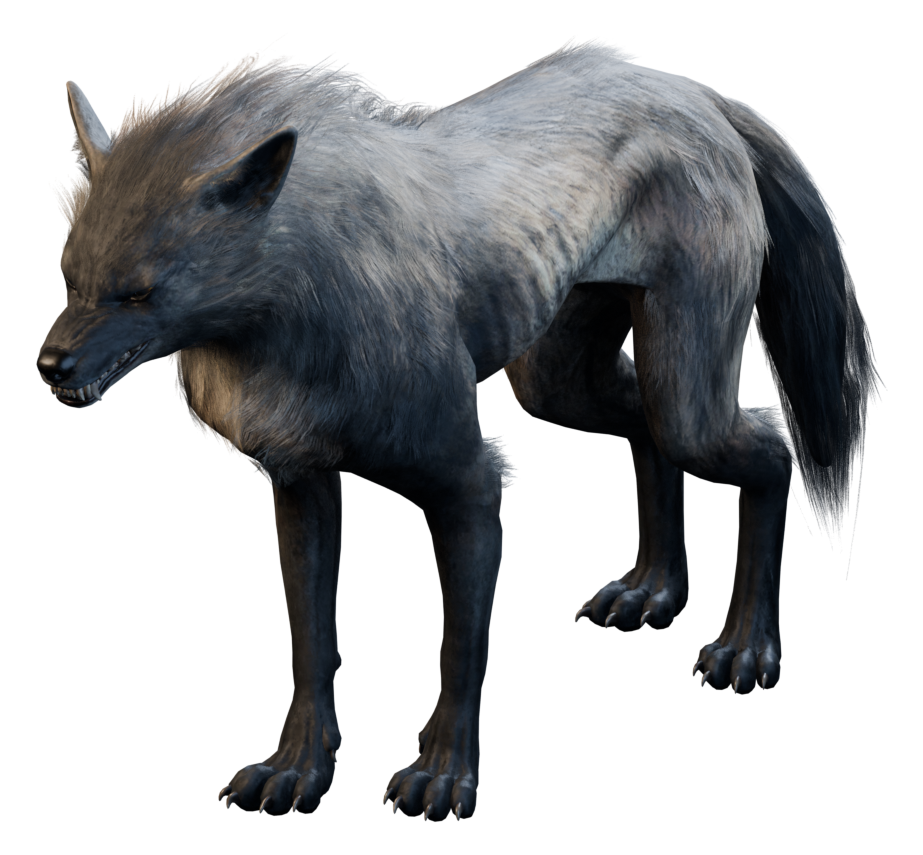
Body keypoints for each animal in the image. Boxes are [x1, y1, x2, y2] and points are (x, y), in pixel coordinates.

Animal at [38, 34, 885, 821]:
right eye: (72, 280)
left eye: (140, 293)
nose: (50, 364)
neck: (300, 295)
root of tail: (688, 89)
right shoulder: (301, 483)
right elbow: (311, 644)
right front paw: (297, 769)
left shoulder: (468, 486)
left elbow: (457, 649)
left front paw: (442, 777)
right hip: (559, 384)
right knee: (649, 434)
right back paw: (651, 591)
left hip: (687, 404)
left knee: (771, 443)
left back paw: (745, 647)